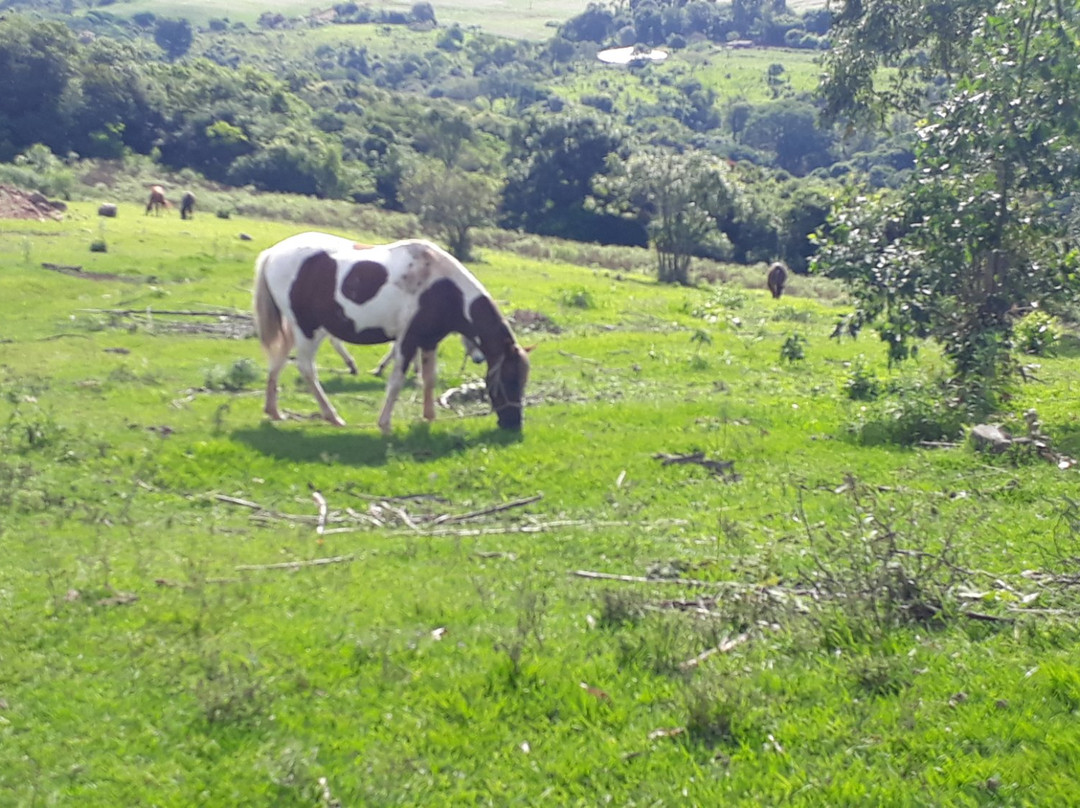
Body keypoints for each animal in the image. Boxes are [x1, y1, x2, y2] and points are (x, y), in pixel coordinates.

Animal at [248, 232, 527, 432]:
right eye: (511, 380)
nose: (513, 424)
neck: (444, 288)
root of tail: (272, 253)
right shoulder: (407, 341)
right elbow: (396, 381)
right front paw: (385, 424)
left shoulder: (429, 341)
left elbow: (429, 379)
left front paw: (429, 416)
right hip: (308, 330)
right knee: (306, 369)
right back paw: (333, 417)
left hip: (295, 329)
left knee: (277, 360)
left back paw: (273, 411)